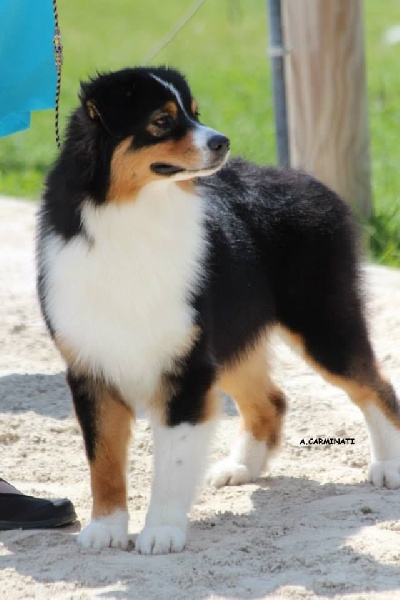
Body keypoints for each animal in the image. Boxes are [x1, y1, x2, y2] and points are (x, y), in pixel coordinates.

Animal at [36, 66, 400, 555]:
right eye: (161, 121)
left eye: (194, 112)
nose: (222, 142)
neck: (133, 215)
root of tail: (305, 180)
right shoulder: (91, 366)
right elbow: (104, 459)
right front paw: (106, 529)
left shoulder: (187, 367)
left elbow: (172, 462)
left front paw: (162, 532)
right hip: (231, 339)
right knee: (272, 400)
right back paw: (241, 468)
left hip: (321, 323)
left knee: (375, 386)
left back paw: (389, 467)